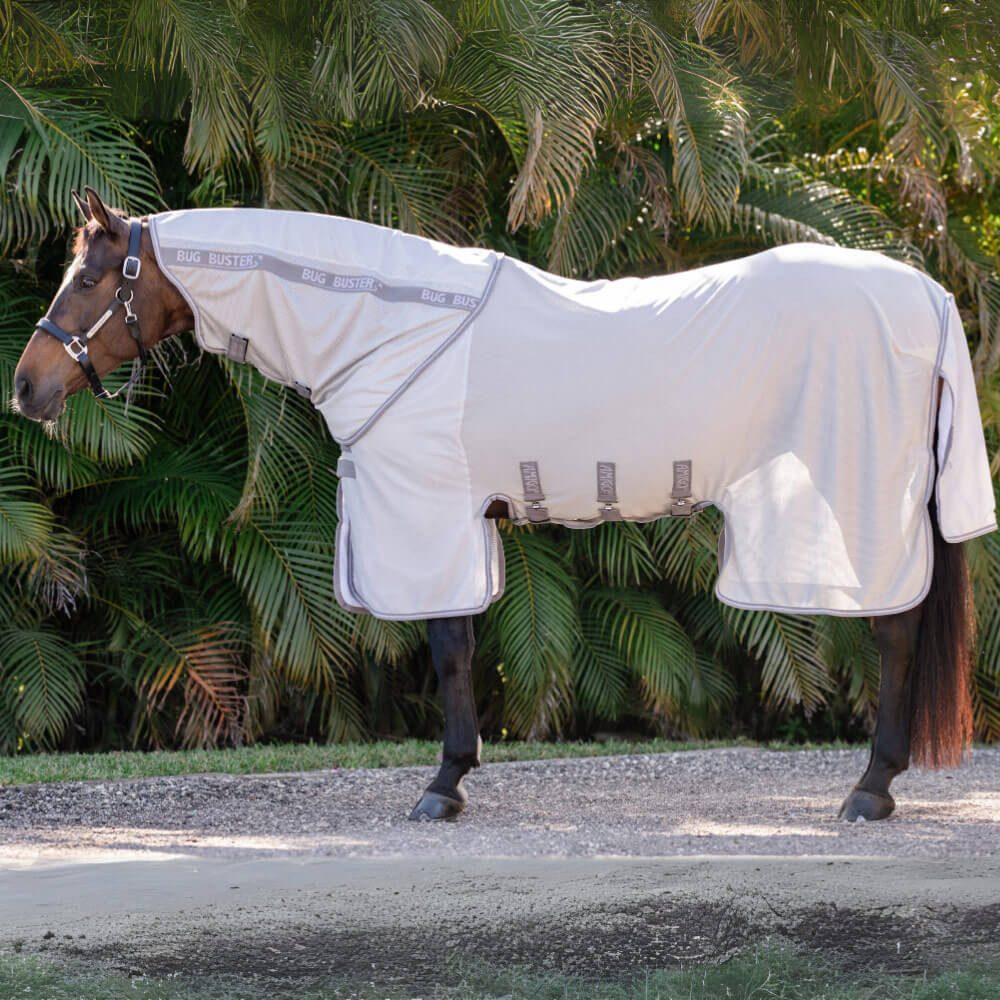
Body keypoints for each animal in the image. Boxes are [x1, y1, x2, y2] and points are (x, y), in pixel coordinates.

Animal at [14, 187, 993, 823]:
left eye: (92, 280)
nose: (27, 387)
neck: (392, 324)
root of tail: (926, 292)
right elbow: (459, 646)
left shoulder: (430, 515)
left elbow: (449, 648)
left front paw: (443, 785)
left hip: (857, 505)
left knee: (895, 632)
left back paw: (871, 790)